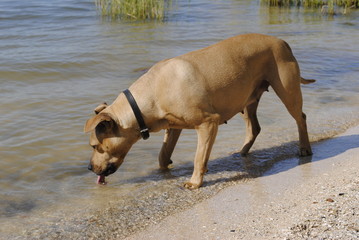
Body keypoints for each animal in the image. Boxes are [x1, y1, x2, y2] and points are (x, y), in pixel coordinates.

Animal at [84, 32, 316, 188]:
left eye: (95, 146)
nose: (89, 168)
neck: (149, 95)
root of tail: (281, 41)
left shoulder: (207, 123)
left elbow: (199, 156)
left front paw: (195, 182)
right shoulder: (173, 127)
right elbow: (162, 154)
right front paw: (166, 168)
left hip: (287, 91)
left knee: (301, 117)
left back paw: (304, 148)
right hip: (247, 99)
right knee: (254, 127)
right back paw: (243, 151)